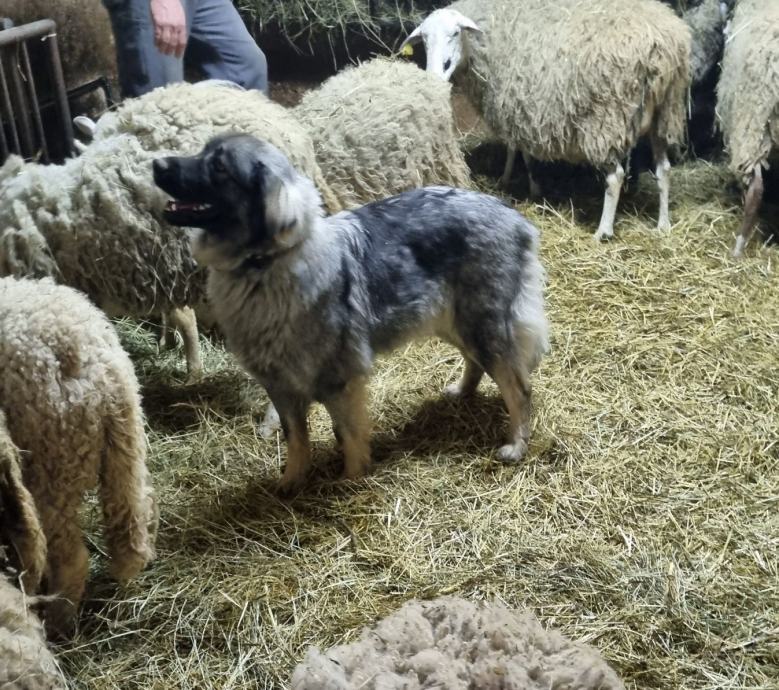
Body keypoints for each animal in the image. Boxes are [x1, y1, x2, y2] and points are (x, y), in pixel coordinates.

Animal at [153, 133, 549, 493]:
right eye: (202, 151)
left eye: (219, 167)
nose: (157, 164)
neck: (262, 267)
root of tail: (514, 217)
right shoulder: (280, 386)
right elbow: (297, 440)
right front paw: (291, 483)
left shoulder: (338, 380)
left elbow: (348, 432)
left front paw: (351, 478)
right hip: (454, 321)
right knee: (476, 362)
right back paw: (463, 392)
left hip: (481, 323)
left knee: (519, 387)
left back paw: (516, 445)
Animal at [403, 0, 692, 241]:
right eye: (424, 39)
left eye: (455, 33)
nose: (435, 75)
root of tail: (660, 48)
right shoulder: (517, 107)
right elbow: (513, 147)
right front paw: (508, 177)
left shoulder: (519, 106)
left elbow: (525, 155)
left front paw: (532, 187)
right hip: (665, 114)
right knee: (664, 170)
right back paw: (663, 224)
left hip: (606, 121)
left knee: (615, 177)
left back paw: (603, 231)